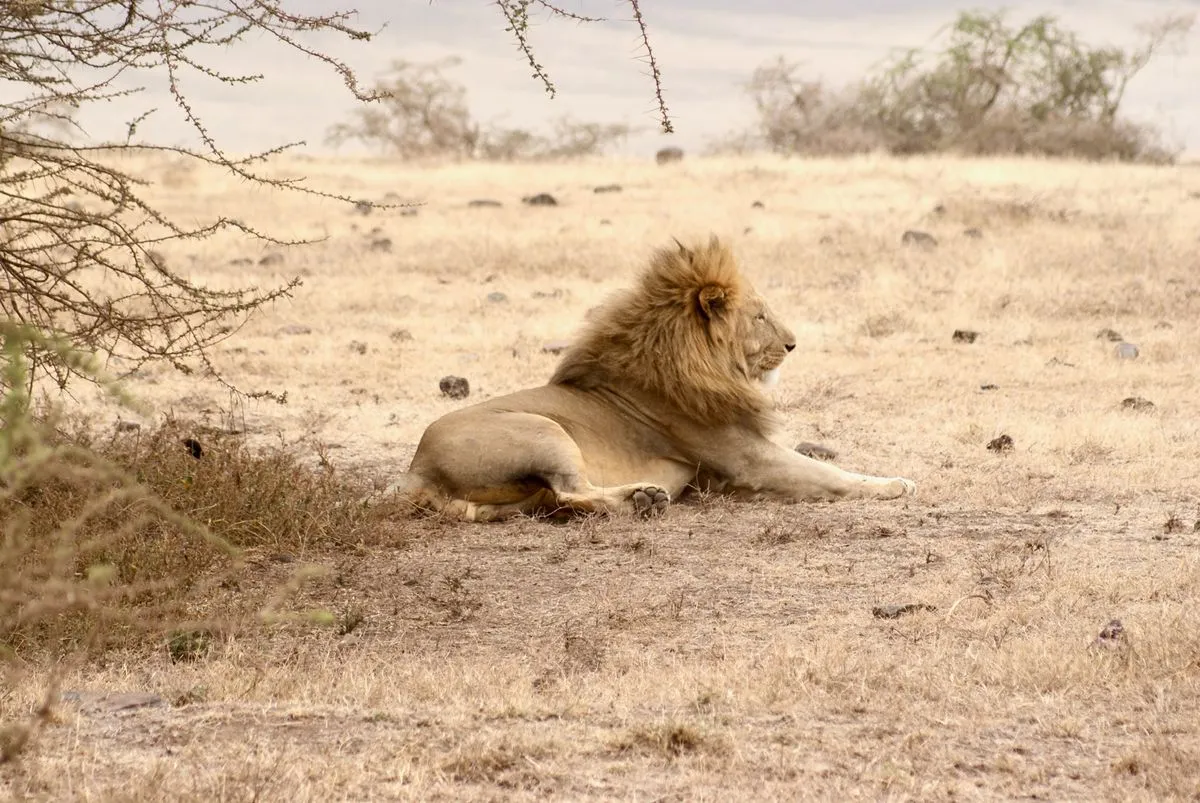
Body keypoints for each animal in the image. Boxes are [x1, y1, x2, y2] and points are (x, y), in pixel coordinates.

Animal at [399, 236, 916, 521]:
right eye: (760, 317)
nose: (792, 345)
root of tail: (416, 469)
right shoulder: (748, 459)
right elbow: (830, 474)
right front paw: (894, 484)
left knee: (558, 501)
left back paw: (643, 499)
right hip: (542, 430)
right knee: (572, 490)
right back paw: (644, 499)